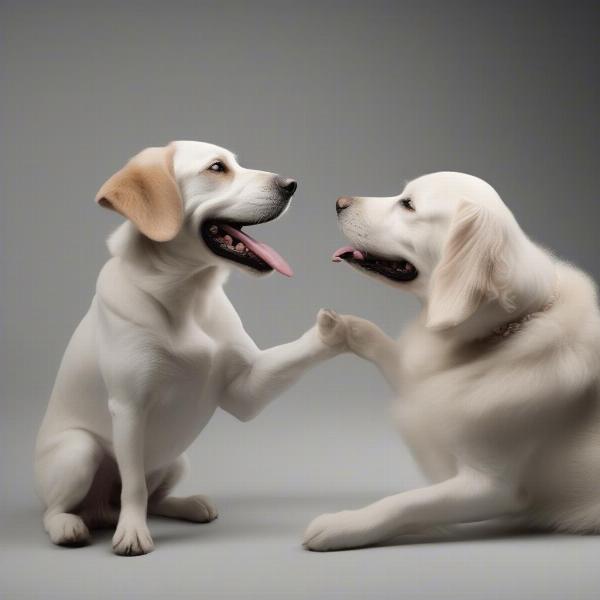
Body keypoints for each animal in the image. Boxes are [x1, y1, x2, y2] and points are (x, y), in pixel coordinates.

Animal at [36, 139, 346, 552]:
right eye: (217, 168)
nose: (291, 184)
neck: (188, 296)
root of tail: (101, 510)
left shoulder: (244, 390)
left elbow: (296, 353)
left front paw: (338, 328)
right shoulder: (129, 409)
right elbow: (133, 487)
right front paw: (132, 533)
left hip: (177, 459)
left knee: (155, 499)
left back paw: (190, 505)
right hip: (78, 452)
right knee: (61, 508)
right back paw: (70, 527)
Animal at [304, 171, 600, 552]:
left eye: (408, 204)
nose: (339, 202)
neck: (509, 329)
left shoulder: (493, 487)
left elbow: (405, 502)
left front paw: (346, 524)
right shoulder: (424, 379)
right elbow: (394, 355)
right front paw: (341, 327)